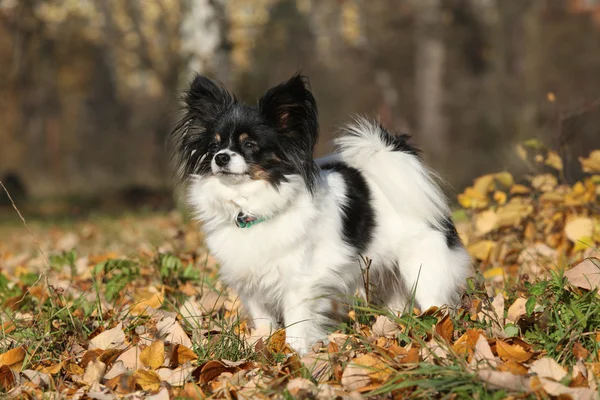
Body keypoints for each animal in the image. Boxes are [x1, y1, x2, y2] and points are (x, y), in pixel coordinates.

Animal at [170, 73, 474, 354]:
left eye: (250, 145)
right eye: (213, 146)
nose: (220, 157)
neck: (250, 206)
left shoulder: (299, 284)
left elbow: (296, 324)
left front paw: (294, 356)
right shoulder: (252, 283)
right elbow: (264, 322)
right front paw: (262, 349)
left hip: (423, 272)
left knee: (438, 306)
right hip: (389, 276)